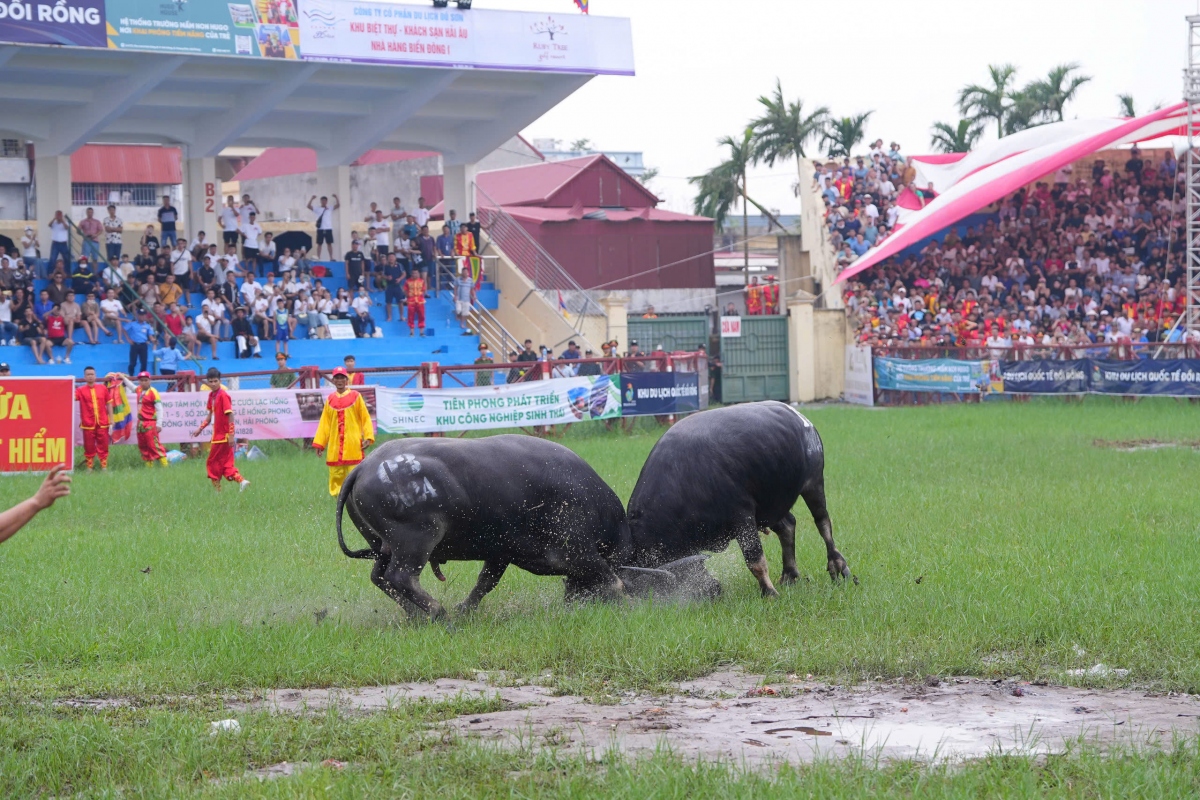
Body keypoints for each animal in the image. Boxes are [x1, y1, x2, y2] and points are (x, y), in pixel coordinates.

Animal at [333, 438, 624, 618]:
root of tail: (363, 467)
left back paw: (416, 614)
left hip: (383, 546)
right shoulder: (575, 551)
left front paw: (466, 608)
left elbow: (485, 582)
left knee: (380, 577)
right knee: (401, 577)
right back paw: (437, 612)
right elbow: (612, 580)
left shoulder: (501, 553)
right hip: (415, 541)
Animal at [624, 402, 849, 597]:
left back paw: (837, 566)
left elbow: (755, 560)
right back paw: (789, 575)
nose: (714, 589)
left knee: (823, 523)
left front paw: (769, 593)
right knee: (788, 525)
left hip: (814, 483)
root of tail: (802, 420)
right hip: (770, 505)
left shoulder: (742, 516)